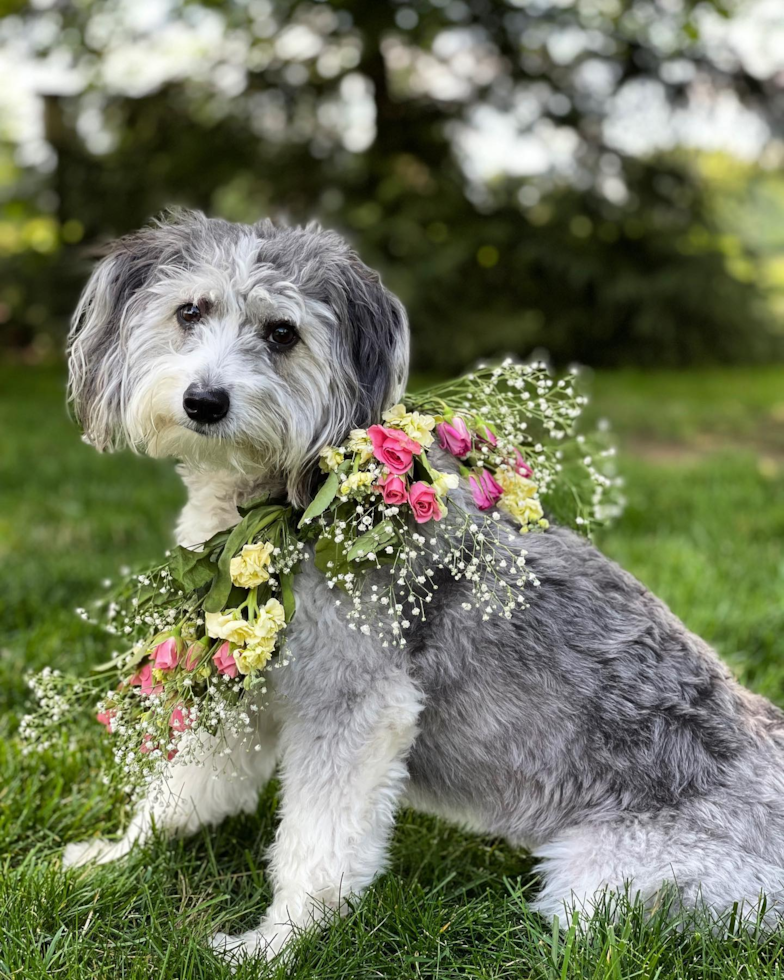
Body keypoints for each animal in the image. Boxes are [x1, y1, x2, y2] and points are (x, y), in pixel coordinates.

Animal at [62, 211, 784, 960]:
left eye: (282, 333)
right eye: (190, 311)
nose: (204, 401)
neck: (293, 504)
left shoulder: (355, 707)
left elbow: (317, 845)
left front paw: (280, 941)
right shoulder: (238, 685)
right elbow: (183, 789)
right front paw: (116, 857)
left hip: (601, 883)